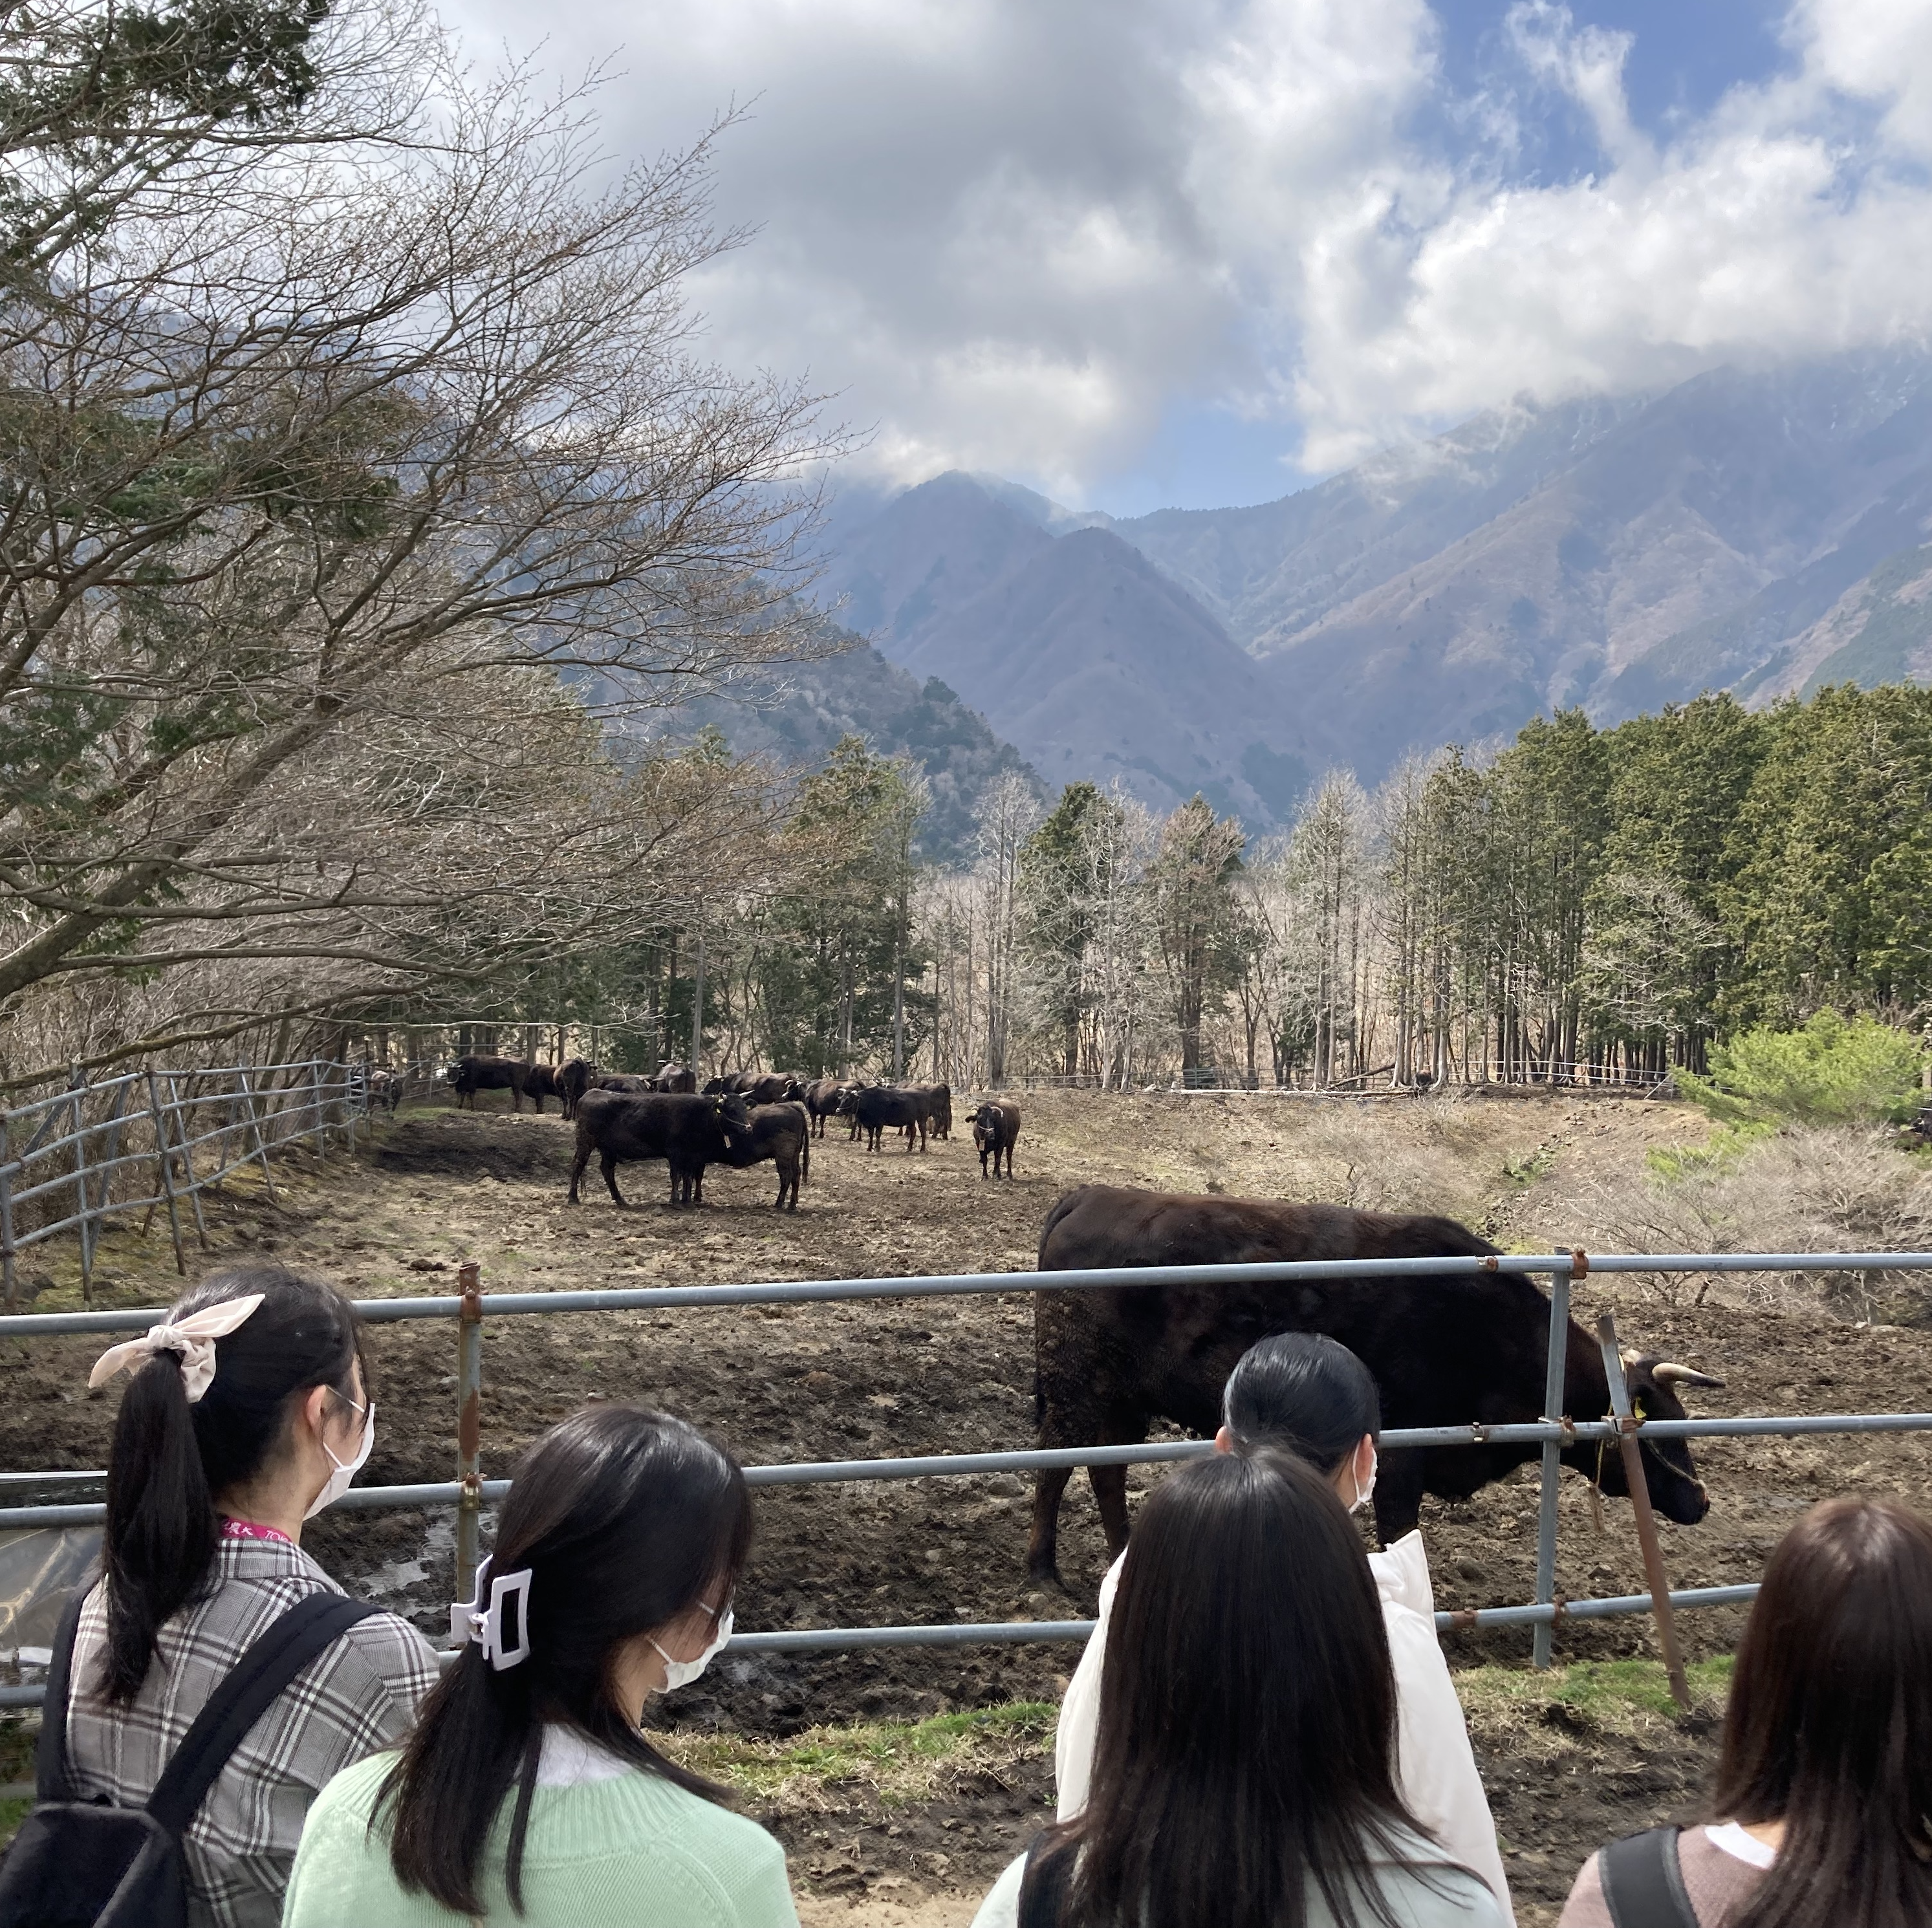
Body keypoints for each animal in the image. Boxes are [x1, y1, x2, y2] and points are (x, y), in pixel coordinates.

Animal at [442, 1058, 525, 1120]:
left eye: (456, 1074)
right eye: (448, 1074)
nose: (451, 1084)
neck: (465, 1070)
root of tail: (525, 1062)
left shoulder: (472, 1087)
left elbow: (471, 1097)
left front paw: (473, 1109)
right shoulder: (465, 1088)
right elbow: (463, 1097)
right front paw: (460, 1107)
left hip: (517, 1086)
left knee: (519, 1096)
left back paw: (517, 1110)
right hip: (516, 1087)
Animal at [564, 1089, 749, 1205]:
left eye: (744, 1109)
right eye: (731, 1110)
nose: (748, 1128)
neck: (700, 1114)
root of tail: (591, 1093)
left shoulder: (692, 1156)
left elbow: (688, 1177)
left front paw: (687, 1200)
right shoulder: (675, 1153)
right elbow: (676, 1176)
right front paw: (676, 1200)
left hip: (609, 1149)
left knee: (607, 1170)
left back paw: (620, 1199)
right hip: (585, 1143)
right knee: (579, 1165)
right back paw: (573, 1198)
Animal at [726, 1105, 815, 1205]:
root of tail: (789, 1106)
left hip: (783, 1156)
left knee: (787, 1175)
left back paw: (779, 1203)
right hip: (794, 1155)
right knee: (796, 1173)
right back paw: (792, 1203)